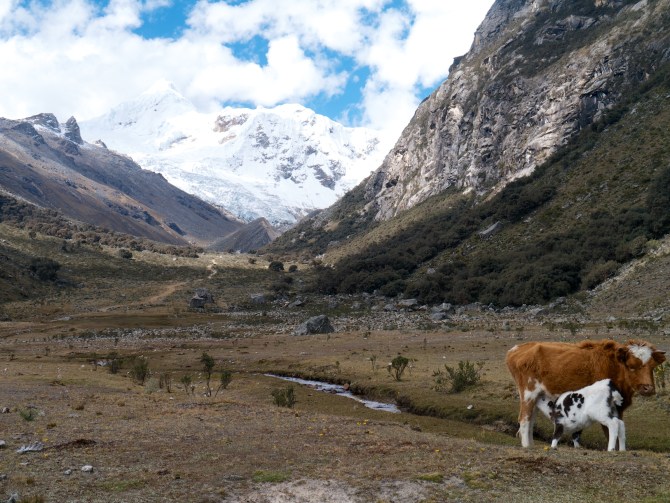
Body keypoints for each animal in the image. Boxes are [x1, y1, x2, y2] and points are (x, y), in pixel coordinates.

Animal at [506, 339, 665, 448]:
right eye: (631, 366)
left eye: (652, 366)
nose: (648, 388)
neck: (613, 366)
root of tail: (516, 349)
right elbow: (607, 430)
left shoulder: (617, 409)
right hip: (528, 394)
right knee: (524, 420)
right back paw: (527, 446)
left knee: (531, 420)